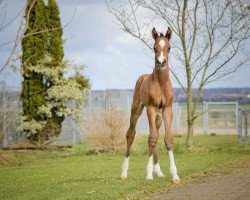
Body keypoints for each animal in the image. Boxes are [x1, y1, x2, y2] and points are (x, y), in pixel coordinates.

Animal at [120, 27, 180, 184]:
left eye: (169, 48)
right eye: (154, 48)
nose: (161, 62)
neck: (161, 83)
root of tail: (142, 77)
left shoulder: (167, 109)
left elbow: (167, 139)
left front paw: (175, 175)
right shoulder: (151, 108)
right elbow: (151, 139)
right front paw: (148, 174)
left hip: (158, 116)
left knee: (156, 135)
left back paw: (158, 171)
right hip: (137, 109)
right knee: (131, 134)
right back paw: (124, 172)